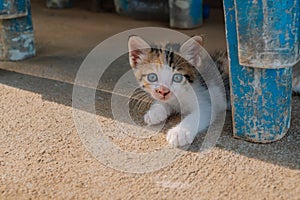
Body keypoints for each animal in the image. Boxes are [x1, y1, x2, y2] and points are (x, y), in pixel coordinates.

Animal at [127, 35, 300, 147]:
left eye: (177, 77)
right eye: (152, 77)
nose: (163, 90)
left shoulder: (206, 101)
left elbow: (197, 115)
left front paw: (179, 132)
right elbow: (163, 103)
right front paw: (155, 112)